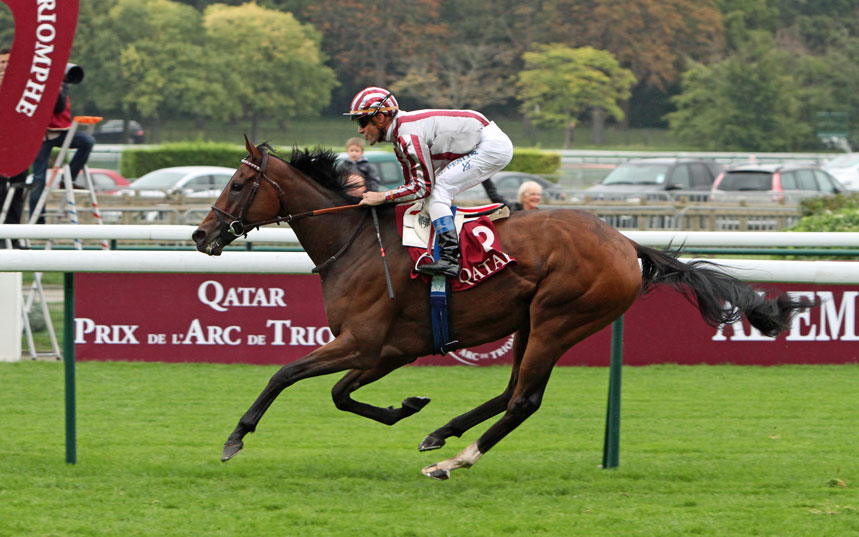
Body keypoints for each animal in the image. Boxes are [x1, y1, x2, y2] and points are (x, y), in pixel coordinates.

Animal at [193, 137, 812, 478]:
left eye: (238, 183)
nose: (201, 235)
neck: (356, 242)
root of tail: (627, 245)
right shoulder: (387, 350)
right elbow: (342, 395)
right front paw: (407, 407)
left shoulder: (363, 342)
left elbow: (286, 373)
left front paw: (234, 438)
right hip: (530, 322)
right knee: (511, 390)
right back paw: (440, 433)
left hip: (559, 320)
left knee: (525, 401)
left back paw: (452, 461)